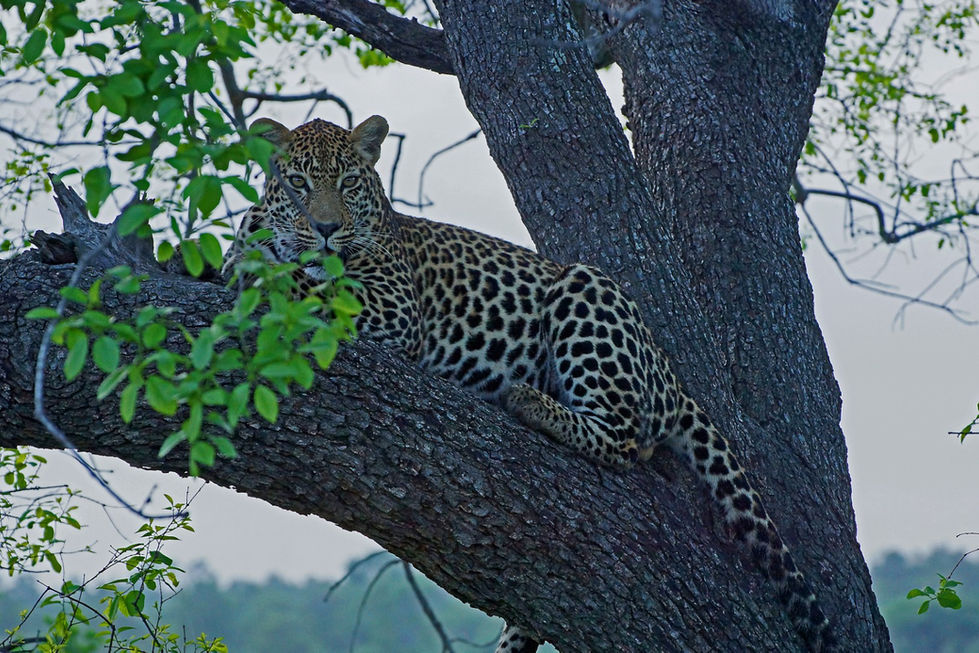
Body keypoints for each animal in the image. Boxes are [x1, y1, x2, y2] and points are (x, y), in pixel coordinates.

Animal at [229, 115, 836, 653]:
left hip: (586, 286)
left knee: (625, 437)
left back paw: (528, 401)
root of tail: (667, 368)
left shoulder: (394, 308)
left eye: (348, 184)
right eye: (299, 184)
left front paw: (262, 273)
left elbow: (301, 288)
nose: (326, 230)